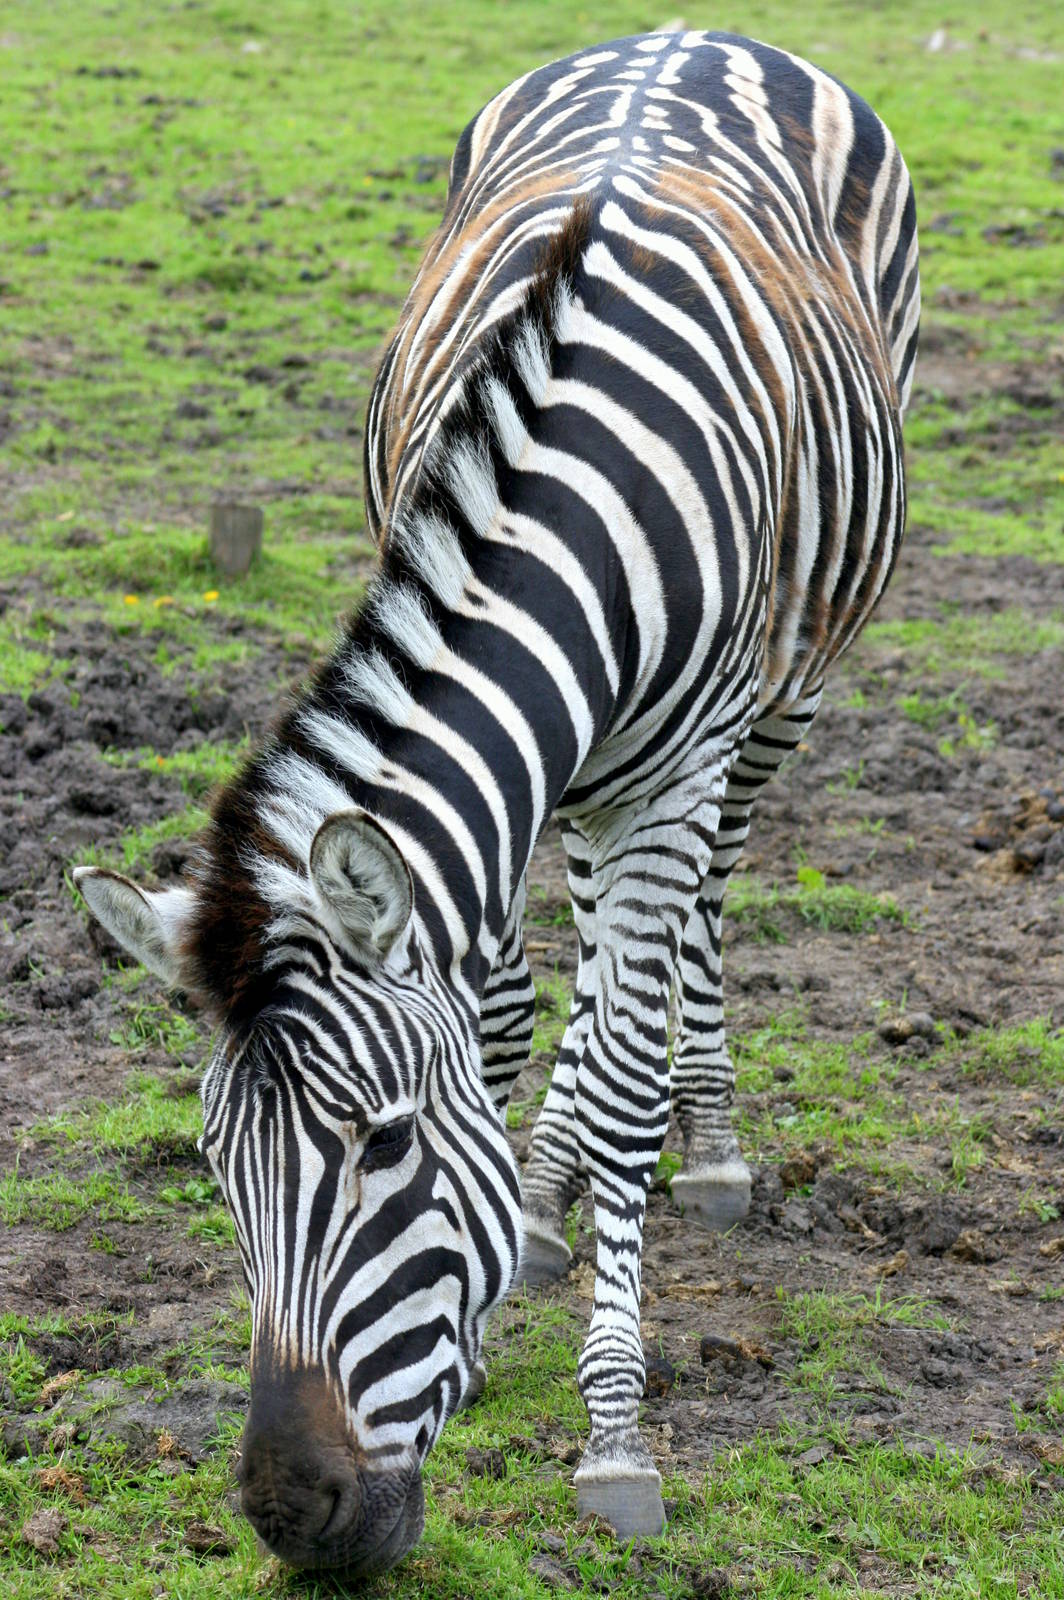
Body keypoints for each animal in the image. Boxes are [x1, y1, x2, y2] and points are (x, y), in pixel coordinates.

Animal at [75, 29, 919, 1572]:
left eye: (384, 1145)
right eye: (214, 1163)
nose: (292, 1516)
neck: (570, 508)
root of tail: (692, 32)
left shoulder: (678, 769)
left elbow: (628, 1065)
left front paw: (614, 1433)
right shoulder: (511, 783)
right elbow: (515, 1012)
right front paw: (519, 1222)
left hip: (773, 708)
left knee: (702, 912)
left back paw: (704, 1143)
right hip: (594, 785)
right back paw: (549, 1191)